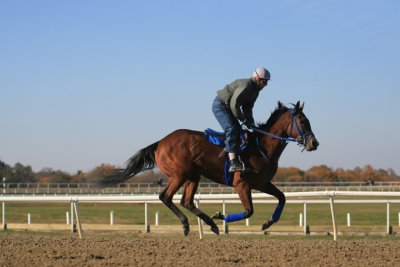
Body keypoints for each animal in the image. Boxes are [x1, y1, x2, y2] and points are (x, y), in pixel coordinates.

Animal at [99, 101, 318, 237]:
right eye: (303, 121)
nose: (314, 143)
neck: (262, 146)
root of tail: (161, 142)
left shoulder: (262, 183)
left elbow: (282, 198)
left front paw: (267, 223)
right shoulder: (241, 184)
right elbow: (248, 211)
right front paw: (220, 216)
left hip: (193, 176)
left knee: (186, 201)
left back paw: (210, 225)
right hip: (179, 174)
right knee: (166, 197)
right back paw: (188, 224)